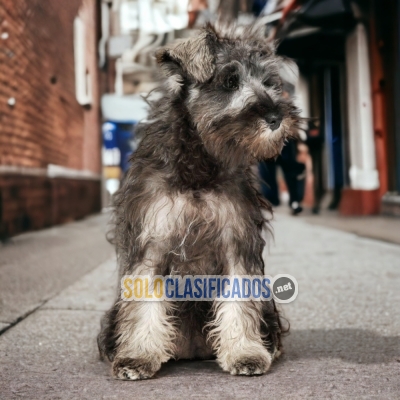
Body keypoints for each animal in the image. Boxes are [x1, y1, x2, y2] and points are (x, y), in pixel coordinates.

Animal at [97, 23, 300, 380]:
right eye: (230, 81)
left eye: (269, 83)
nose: (277, 117)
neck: (199, 169)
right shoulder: (151, 245)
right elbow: (143, 304)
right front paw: (136, 356)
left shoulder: (236, 242)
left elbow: (239, 300)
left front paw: (245, 353)